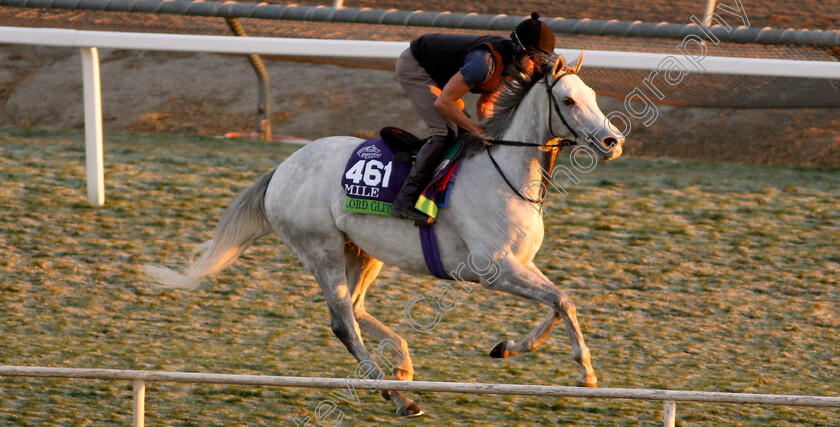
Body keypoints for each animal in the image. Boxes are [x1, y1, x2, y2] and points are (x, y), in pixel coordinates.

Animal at [144, 54, 624, 418]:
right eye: (568, 100)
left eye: (593, 96)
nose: (612, 141)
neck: (503, 174)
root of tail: (282, 168)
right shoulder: (495, 269)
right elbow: (562, 300)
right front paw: (586, 373)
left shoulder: (520, 264)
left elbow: (559, 303)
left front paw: (507, 347)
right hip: (321, 250)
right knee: (343, 321)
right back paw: (396, 395)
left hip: (362, 250)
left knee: (356, 309)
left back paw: (403, 365)